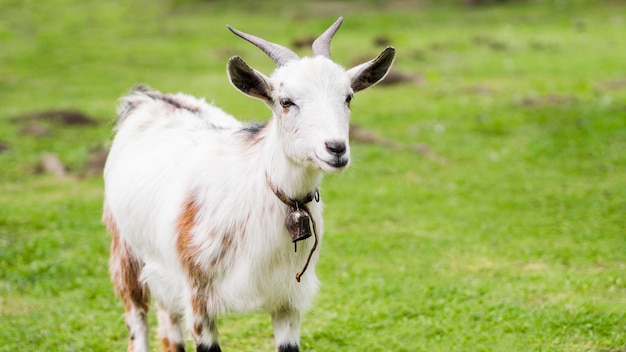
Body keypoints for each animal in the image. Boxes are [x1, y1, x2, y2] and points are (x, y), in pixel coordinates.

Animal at [102, 17, 394, 352]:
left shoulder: (287, 299)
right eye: (285, 101)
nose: (335, 148)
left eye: (348, 97)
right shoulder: (197, 296)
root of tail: (145, 99)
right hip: (124, 249)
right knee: (136, 314)